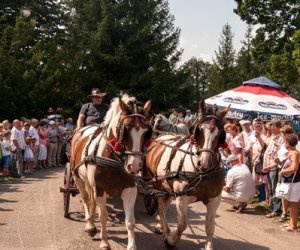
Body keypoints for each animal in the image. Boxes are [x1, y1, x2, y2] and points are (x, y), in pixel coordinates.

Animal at [69, 94, 151, 250]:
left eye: (146, 132)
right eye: (126, 129)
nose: (134, 166)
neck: (115, 161)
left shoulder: (130, 190)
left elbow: (130, 221)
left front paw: (131, 246)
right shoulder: (100, 190)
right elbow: (103, 217)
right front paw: (104, 242)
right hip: (77, 177)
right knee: (86, 199)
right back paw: (90, 225)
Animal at [145, 101, 227, 250]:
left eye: (220, 134)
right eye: (199, 130)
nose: (204, 163)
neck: (202, 173)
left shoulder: (214, 199)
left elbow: (210, 227)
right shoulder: (182, 198)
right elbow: (182, 224)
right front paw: (171, 240)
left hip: (167, 188)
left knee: (163, 207)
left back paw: (161, 226)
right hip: (157, 184)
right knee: (161, 208)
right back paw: (165, 230)